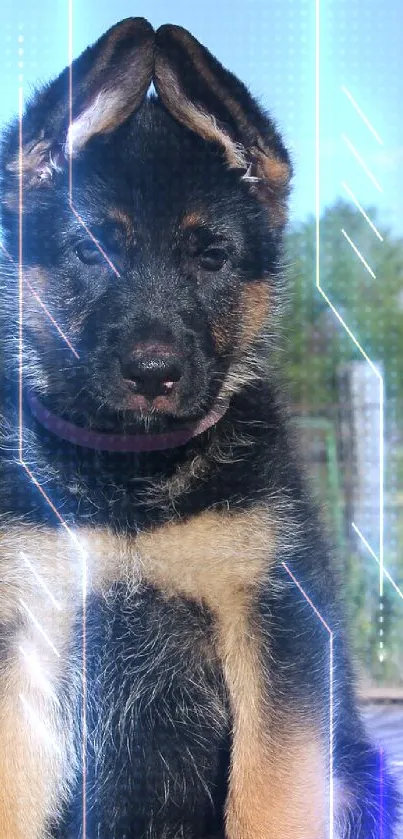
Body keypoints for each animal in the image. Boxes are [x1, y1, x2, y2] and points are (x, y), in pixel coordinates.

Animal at [0, 16, 398, 839]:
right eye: (90, 251)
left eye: (211, 257)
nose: (154, 374)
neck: (135, 482)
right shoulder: (25, 625)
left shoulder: (274, 623)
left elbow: (269, 796)